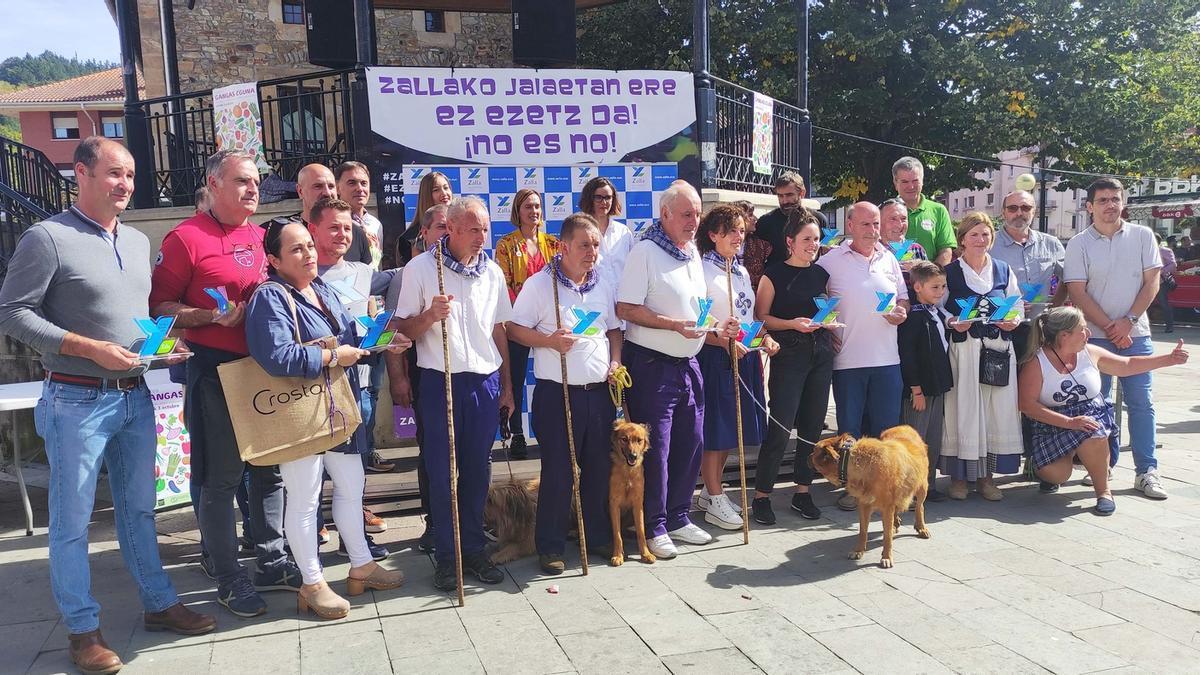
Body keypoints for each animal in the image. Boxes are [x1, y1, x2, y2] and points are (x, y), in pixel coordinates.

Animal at [609, 417, 657, 564]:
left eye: (639, 440)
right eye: (624, 439)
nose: (633, 456)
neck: (628, 472)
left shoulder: (638, 504)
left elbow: (641, 531)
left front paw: (646, 554)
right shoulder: (614, 504)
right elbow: (617, 534)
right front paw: (618, 555)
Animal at [811, 422, 931, 564]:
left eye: (814, 450)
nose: (807, 456)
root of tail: (905, 426)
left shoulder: (887, 507)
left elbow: (887, 536)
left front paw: (886, 556)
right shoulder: (864, 504)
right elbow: (863, 531)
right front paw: (859, 550)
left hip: (922, 486)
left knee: (919, 506)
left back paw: (921, 526)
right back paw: (896, 523)